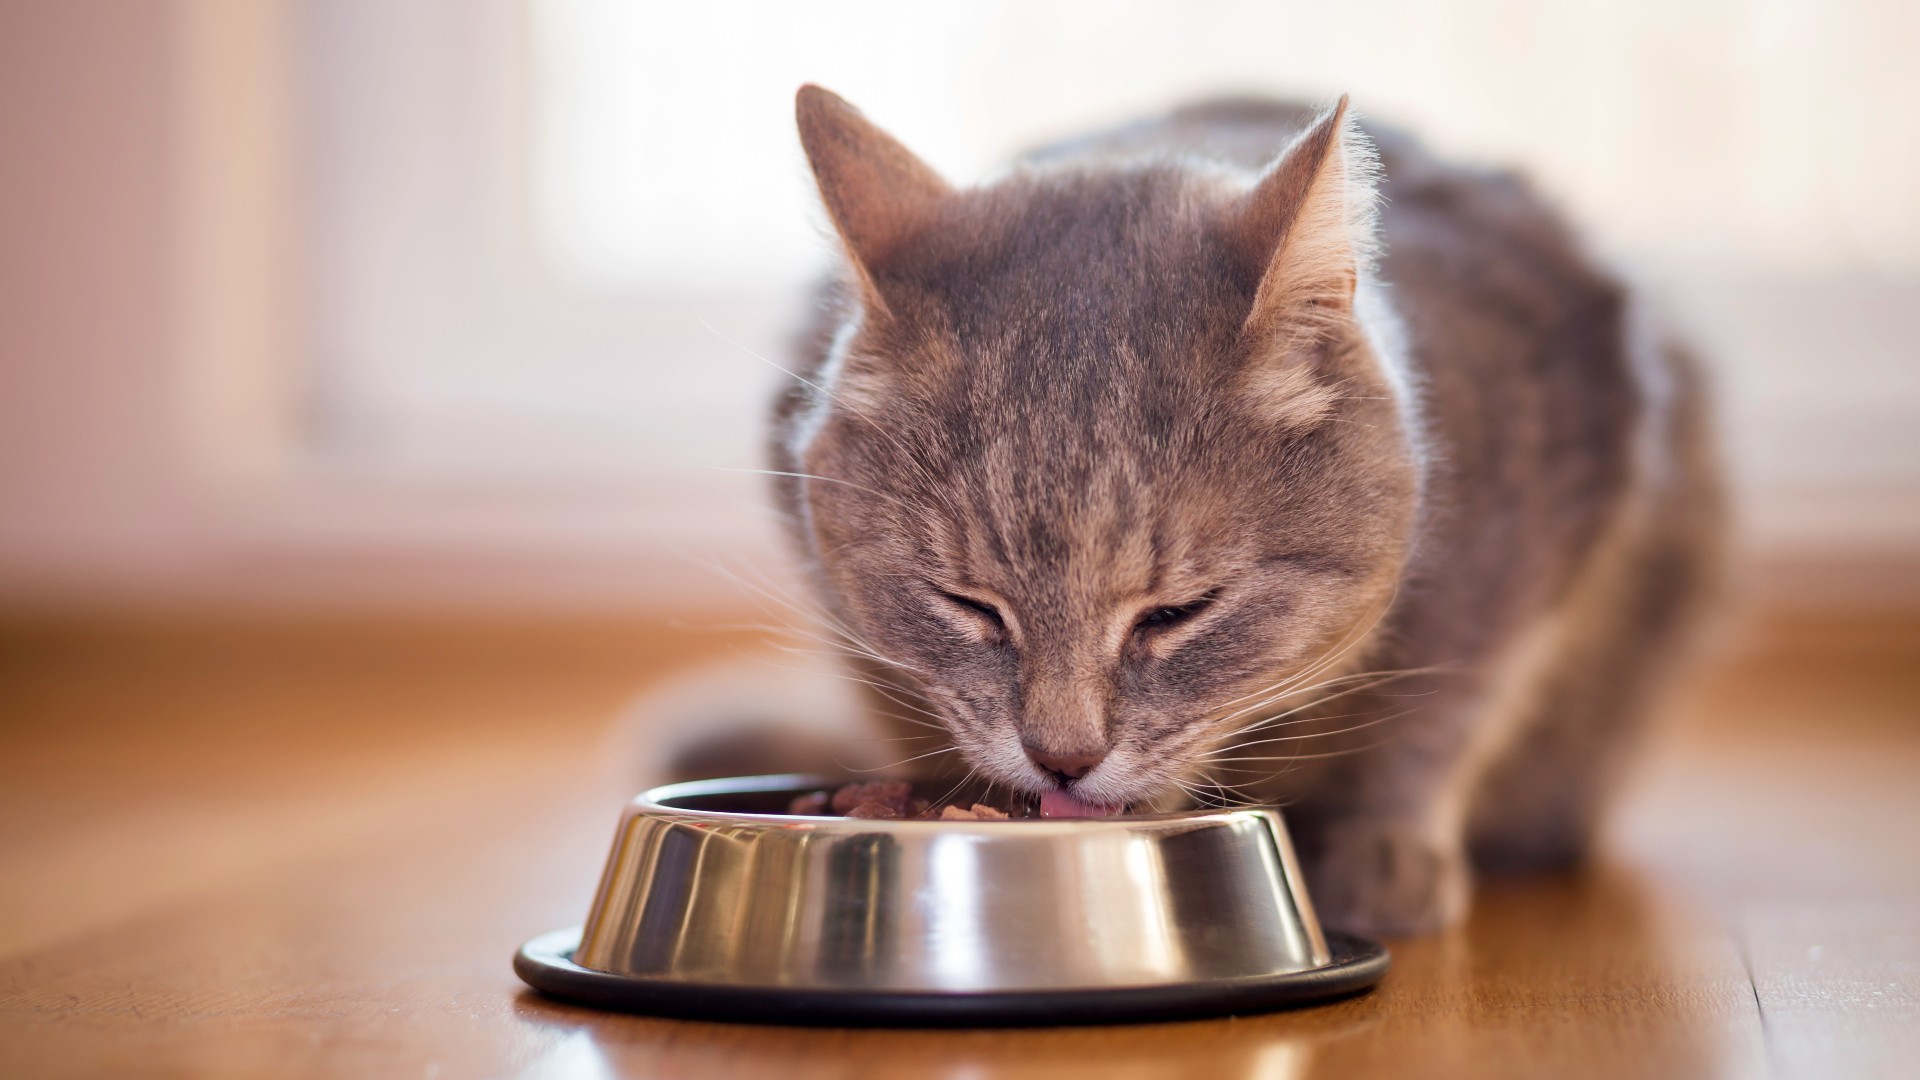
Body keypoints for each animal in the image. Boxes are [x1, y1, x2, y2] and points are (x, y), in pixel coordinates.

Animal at [756, 84, 1720, 930]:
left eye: (1179, 613)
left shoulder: (1541, 527)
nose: (1063, 758)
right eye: (969, 606)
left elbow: (1448, 712)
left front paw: (1385, 846)